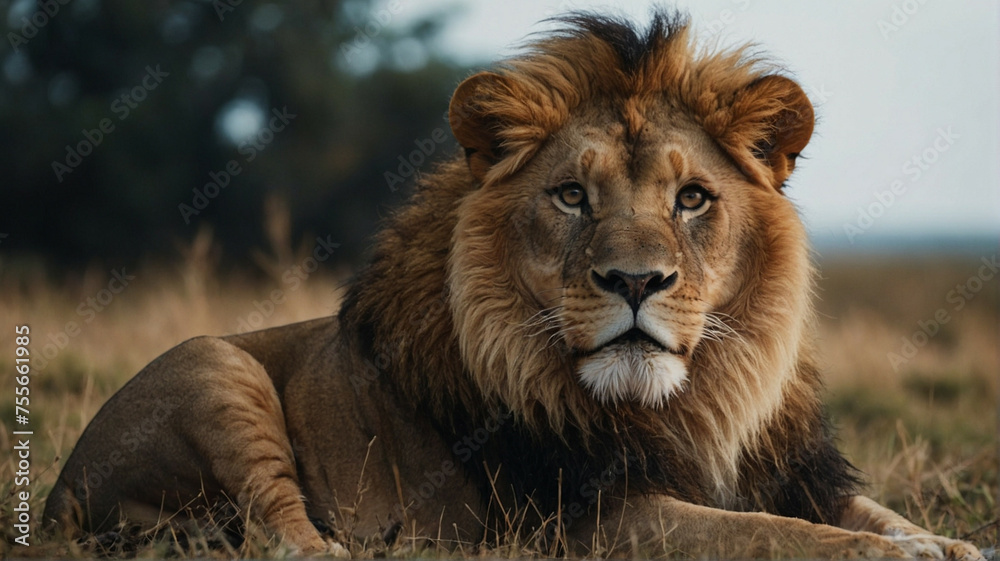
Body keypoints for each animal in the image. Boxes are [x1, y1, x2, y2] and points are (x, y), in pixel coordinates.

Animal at [45, 10, 984, 556]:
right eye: (572, 195)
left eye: (692, 198)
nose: (634, 280)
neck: (696, 401)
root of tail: (55, 495)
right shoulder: (587, 519)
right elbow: (770, 535)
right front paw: (892, 554)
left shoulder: (800, 472)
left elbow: (870, 513)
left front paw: (941, 542)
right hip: (214, 365)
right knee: (285, 536)